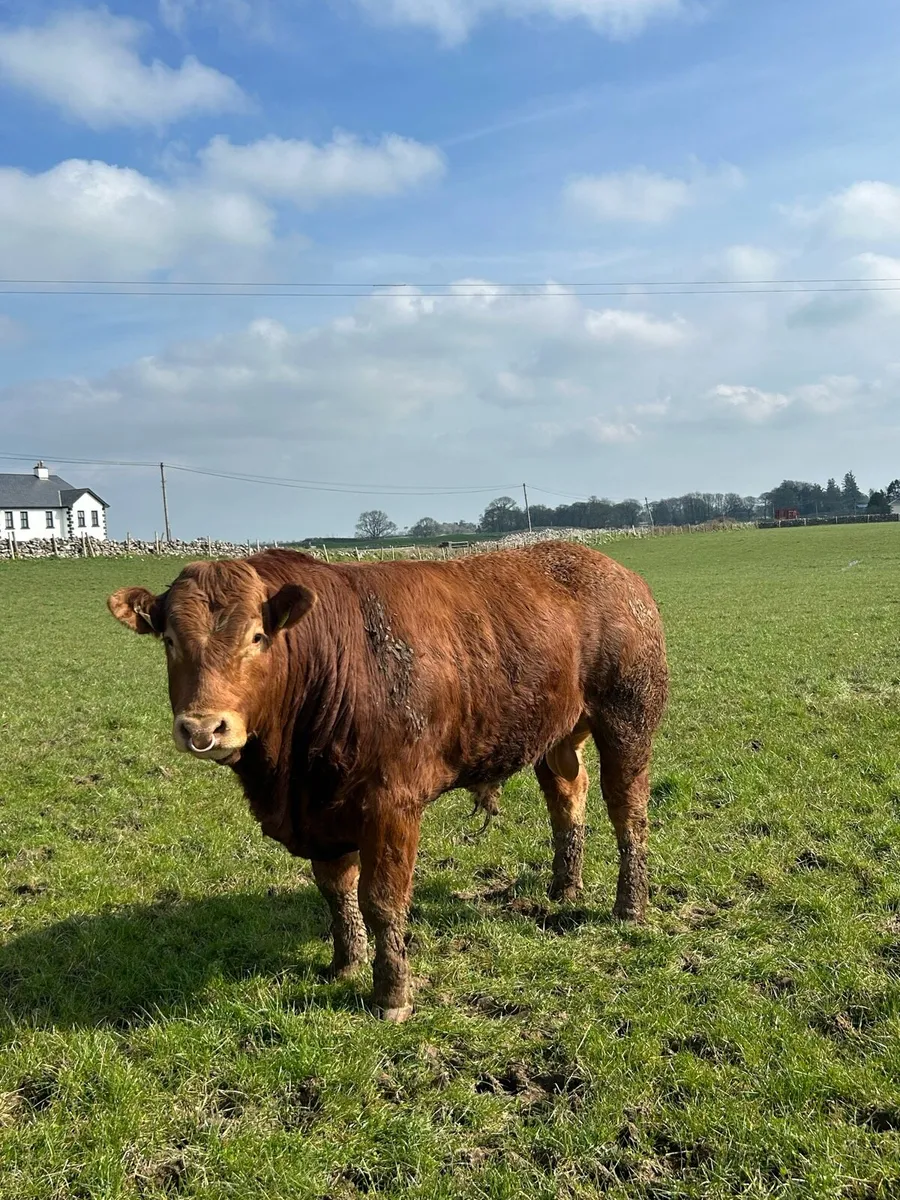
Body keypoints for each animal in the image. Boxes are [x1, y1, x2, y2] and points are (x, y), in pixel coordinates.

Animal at [108, 542, 667, 1022]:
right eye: (170, 640)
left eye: (256, 637)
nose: (204, 728)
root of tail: (613, 570)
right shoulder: (320, 810)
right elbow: (337, 891)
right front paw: (345, 962)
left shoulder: (391, 805)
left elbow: (382, 900)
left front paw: (391, 993)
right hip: (558, 736)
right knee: (569, 796)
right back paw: (565, 885)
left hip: (627, 721)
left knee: (628, 812)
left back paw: (629, 905)